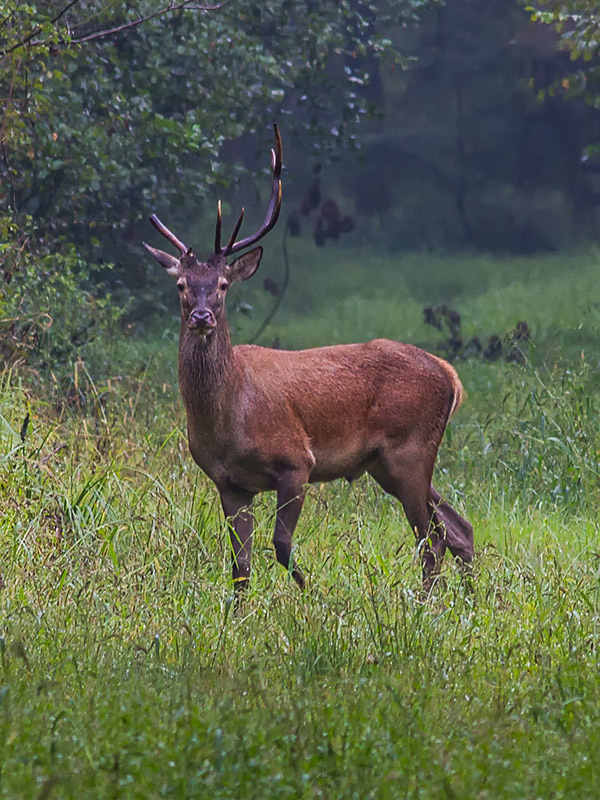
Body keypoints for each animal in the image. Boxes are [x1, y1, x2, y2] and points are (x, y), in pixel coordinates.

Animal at [144, 125, 474, 596]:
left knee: (431, 540)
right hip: (387, 464)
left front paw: (312, 592)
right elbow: (240, 568)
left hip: (410, 449)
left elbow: (281, 545)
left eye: (223, 284)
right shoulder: (229, 483)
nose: (202, 317)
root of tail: (452, 377)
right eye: (182, 285)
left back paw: (426, 604)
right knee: (457, 529)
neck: (228, 417)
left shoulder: (296, 461)